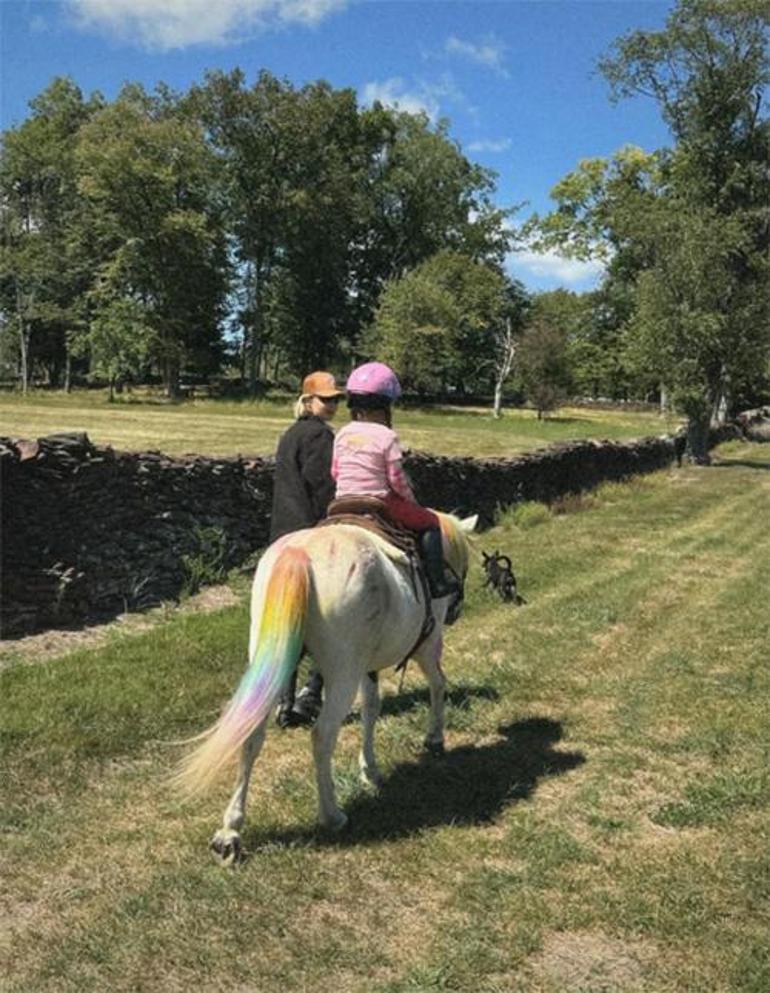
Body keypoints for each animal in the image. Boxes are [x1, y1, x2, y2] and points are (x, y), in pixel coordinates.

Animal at [176, 512, 474, 860]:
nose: (455, 611)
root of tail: (300, 555)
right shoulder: (426, 644)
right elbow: (437, 683)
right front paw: (434, 738)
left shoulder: (366, 667)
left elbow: (371, 708)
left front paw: (370, 770)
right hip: (342, 671)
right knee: (322, 734)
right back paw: (332, 815)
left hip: (273, 662)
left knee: (251, 735)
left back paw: (230, 832)